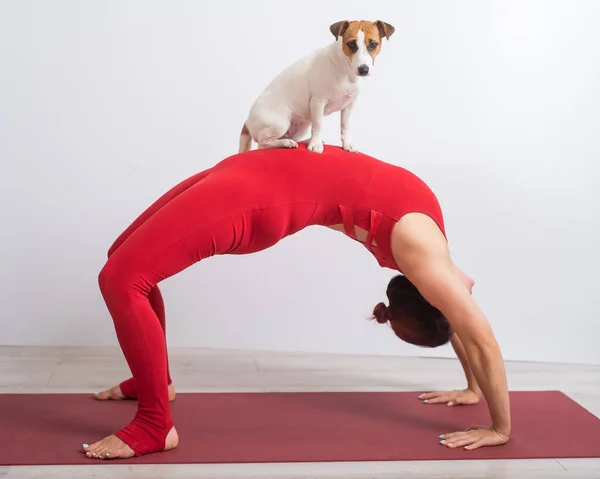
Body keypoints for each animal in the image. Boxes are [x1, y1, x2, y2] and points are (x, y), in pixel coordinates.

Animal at [239, 19, 394, 155]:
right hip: (280, 123)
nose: (363, 69)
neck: (345, 69)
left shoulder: (349, 105)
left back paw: (302, 140)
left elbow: (345, 125)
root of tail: (247, 121)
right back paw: (287, 143)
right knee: (263, 144)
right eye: (351, 44)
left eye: (373, 44)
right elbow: (318, 124)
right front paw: (315, 145)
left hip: (300, 127)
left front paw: (347, 144)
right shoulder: (318, 101)